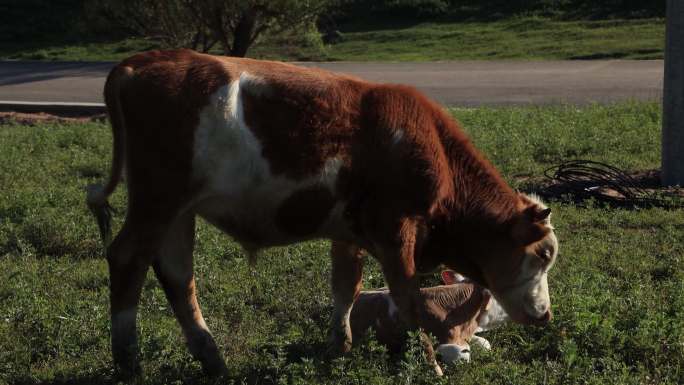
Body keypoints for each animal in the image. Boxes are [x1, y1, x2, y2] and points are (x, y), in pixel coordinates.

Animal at [87, 48, 556, 376]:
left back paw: (212, 360)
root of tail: (138, 64)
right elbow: (408, 300)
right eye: (544, 254)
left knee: (177, 276)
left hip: (177, 212)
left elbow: (345, 288)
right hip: (157, 200)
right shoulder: (395, 230)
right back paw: (128, 362)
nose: (546, 314)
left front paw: (338, 348)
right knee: (128, 259)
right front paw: (431, 364)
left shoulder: (350, 232)